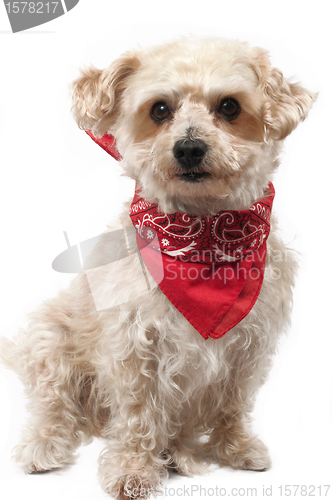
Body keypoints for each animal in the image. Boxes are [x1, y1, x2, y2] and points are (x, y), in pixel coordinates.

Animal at [1, 39, 316, 500]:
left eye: (229, 106)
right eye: (160, 109)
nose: (188, 148)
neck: (201, 234)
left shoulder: (249, 347)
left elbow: (233, 403)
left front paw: (235, 448)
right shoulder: (134, 347)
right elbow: (138, 415)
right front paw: (134, 468)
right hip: (50, 338)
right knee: (55, 407)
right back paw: (45, 446)